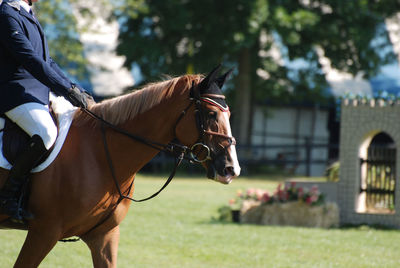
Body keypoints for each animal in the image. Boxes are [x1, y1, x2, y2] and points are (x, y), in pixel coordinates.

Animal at [0, 66, 241, 266]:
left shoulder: (104, 236)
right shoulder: (43, 232)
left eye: (229, 114)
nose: (232, 169)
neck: (98, 154)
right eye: (211, 114)